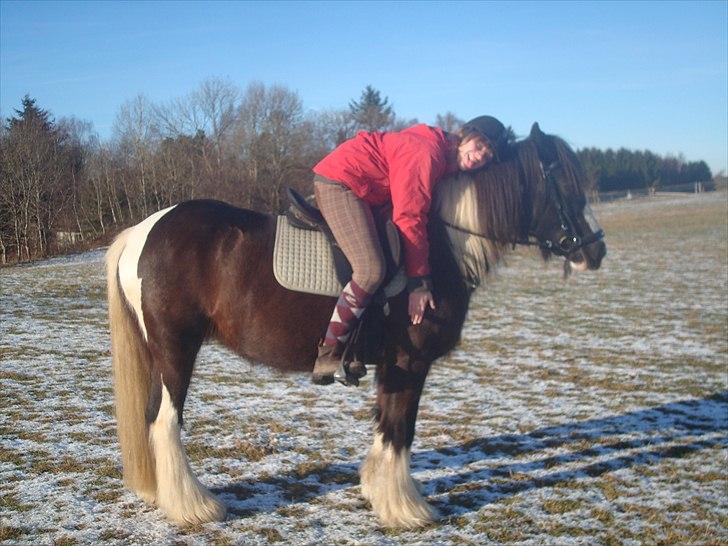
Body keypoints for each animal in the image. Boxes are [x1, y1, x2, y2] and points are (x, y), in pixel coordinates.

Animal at [106, 124, 604, 528]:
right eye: (563, 183)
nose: (596, 251)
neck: (442, 243)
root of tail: (142, 231)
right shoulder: (409, 363)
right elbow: (401, 429)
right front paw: (406, 509)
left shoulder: (392, 366)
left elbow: (387, 426)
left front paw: (381, 494)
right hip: (176, 349)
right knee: (164, 420)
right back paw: (192, 506)